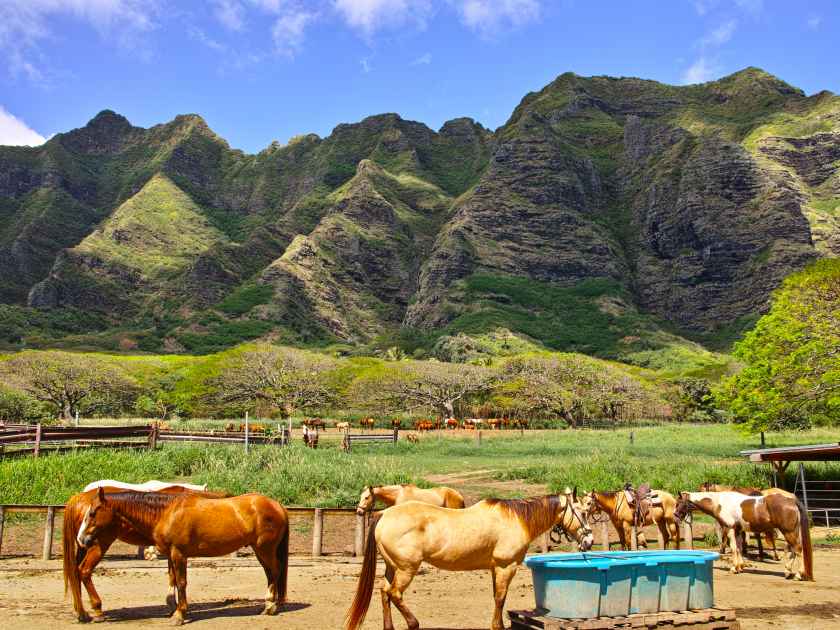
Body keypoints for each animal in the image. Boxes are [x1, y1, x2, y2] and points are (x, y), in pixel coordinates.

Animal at [63, 484, 220, 624]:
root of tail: (79, 497)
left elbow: (172, 576)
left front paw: (172, 606)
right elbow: (174, 578)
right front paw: (174, 607)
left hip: (83, 547)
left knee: (75, 572)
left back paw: (81, 613)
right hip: (98, 545)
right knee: (84, 571)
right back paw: (97, 610)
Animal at [77, 492, 290, 624]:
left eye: (93, 513)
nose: (82, 539)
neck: (167, 512)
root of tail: (277, 505)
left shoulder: (179, 554)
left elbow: (181, 582)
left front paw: (180, 615)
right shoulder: (172, 555)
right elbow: (173, 581)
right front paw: (175, 609)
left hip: (265, 549)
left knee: (275, 571)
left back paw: (270, 606)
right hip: (260, 550)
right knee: (270, 573)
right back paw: (269, 605)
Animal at [344, 492, 592, 630]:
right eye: (582, 512)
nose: (589, 540)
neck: (516, 519)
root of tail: (384, 514)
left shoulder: (495, 569)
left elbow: (497, 598)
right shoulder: (506, 567)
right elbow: (500, 599)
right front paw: (497, 626)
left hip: (392, 567)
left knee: (384, 592)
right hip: (407, 569)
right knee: (394, 593)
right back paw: (414, 624)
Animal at [676, 494, 812, 584]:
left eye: (679, 503)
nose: (675, 516)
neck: (719, 503)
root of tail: (792, 501)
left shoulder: (730, 528)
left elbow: (733, 548)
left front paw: (733, 568)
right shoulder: (738, 530)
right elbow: (739, 548)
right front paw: (740, 566)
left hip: (788, 532)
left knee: (798, 550)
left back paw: (798, 575)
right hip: (791, 532)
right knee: (793, 551)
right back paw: (788, 572)